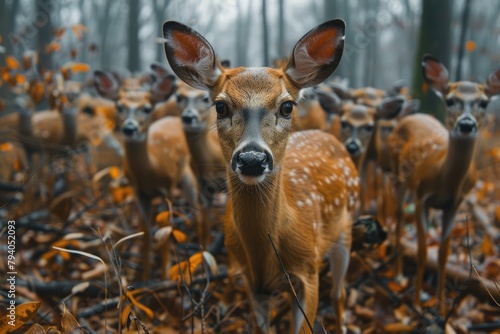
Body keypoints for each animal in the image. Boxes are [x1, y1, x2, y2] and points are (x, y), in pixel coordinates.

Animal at [94, 70, 201, 280]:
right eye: (119, 106)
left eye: (147, 108)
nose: (130, 128)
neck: (152, 170)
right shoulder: (140, 193)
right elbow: (145, 234)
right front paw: (144, 277)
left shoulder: (167, 188)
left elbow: (167, 228)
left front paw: (165, 276)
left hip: (188, 175)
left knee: (199, 210)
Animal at [164, 18, 360, 334]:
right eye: (220, 106)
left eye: (287, 106)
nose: (252, 159)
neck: (264, 258)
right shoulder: (252, 283)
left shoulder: (308, 270)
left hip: (346, 229)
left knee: (338, 293)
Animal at [388, 54, 500, 314]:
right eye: (450, 100)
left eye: (484, 102)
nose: (466, 124)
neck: (444, 178)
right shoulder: (422, 196)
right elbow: (421, 251)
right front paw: (417, 303)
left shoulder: (454, 205)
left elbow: (443, 254)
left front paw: (439, 308)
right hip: (399, 176)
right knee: (399, 218)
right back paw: (397, 274)